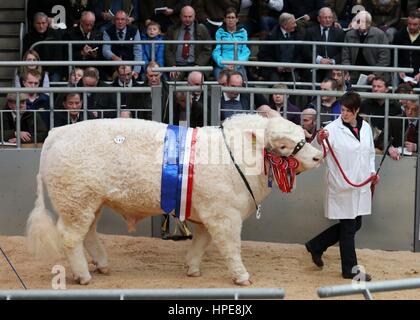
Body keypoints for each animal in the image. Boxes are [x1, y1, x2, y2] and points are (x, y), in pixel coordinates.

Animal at [27, 114, 322, 284]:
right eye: (283, 145)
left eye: (302, 135)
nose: (319, 156)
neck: (235, 157)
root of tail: (58, 132)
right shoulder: (224, 215)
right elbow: (230, 247)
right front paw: (242, 276)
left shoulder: (206, 214)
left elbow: (201, 242)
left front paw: (192, 269)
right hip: (76, 201)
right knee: (70, 237)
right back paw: (84, 276)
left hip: (90, 203)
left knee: (88, 234)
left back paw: (102, 265)